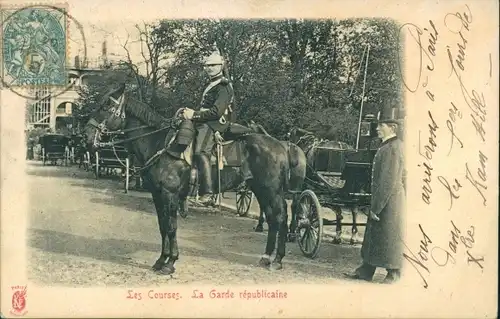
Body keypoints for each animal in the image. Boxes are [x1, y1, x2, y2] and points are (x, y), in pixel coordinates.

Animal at [87, 89, 292, 274]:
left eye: (106, 107)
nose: (87, 136)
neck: (158, 142)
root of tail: (281, 145)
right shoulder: (157, 194)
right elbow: (162, 226)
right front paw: (161, 260)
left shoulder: (170, 194)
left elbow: (171, 227)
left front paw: (170, 262)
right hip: (260, 189)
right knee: (272, 218)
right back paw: (266, 258)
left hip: (271, 190)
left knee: (280, 217)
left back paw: (277, 260)